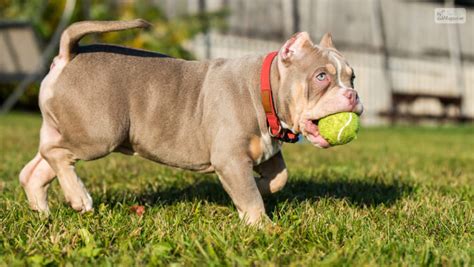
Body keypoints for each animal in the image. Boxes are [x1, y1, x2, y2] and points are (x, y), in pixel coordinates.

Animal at [18, 19, 362, 226]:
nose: (353, 95)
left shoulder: (266, 152)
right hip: (99, 134)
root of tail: (69, 54)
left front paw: (259, 189)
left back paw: (43, 211)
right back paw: (79, 198)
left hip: (71, 129)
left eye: (352, 77)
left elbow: (279, 178)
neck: (265, 90)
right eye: (321, 76)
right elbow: (250, 195)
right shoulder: (230, 158)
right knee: (57, 154)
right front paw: (262, 225)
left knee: (38, 165)